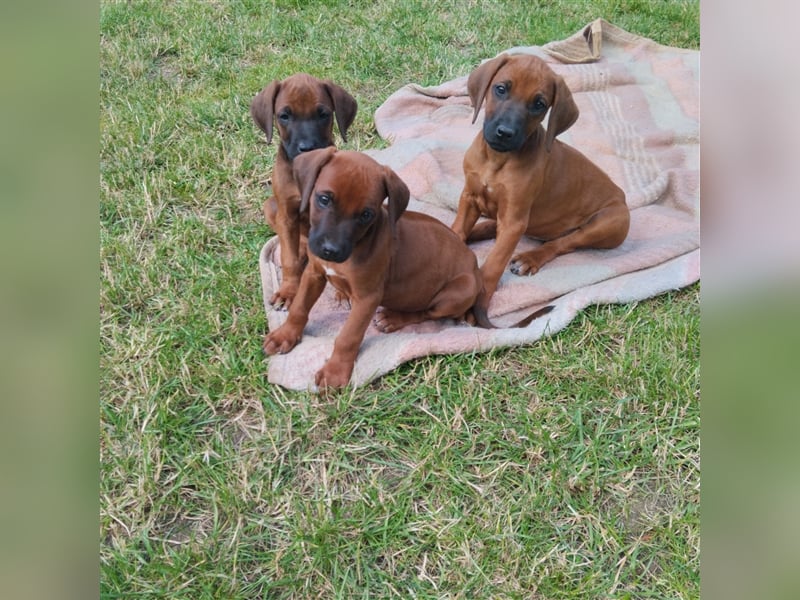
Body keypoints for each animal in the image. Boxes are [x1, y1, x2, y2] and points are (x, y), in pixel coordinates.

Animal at [252, 74, 358, 310]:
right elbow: (289, 259)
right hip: (270, 207)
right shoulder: (287, 214)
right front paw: (288, 291)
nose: (307, 148)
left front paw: (343, 291)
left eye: (323, 114)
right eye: (284, 116)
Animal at [262, 148, 552, 386]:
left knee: (427, 313)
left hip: (456, 292)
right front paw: (285, 335)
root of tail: (474, 269)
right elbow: (299, 308)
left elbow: (348, 336)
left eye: (366, 214)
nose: (330, 250)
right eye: (323, 199)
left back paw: (393, 318)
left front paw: (335, 372)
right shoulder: (314, 273)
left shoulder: (367, 298)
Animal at [450, 52, 632, 310]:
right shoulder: (470, 198)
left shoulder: (514, 219)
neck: (496, 160)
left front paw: (480, 298)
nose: (505, 133)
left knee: (563, 243)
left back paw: (530, 258)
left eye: (539, 104)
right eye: (501, 89)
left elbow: (495, 261)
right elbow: (458, 230)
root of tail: (622, 195)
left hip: (610, 222)